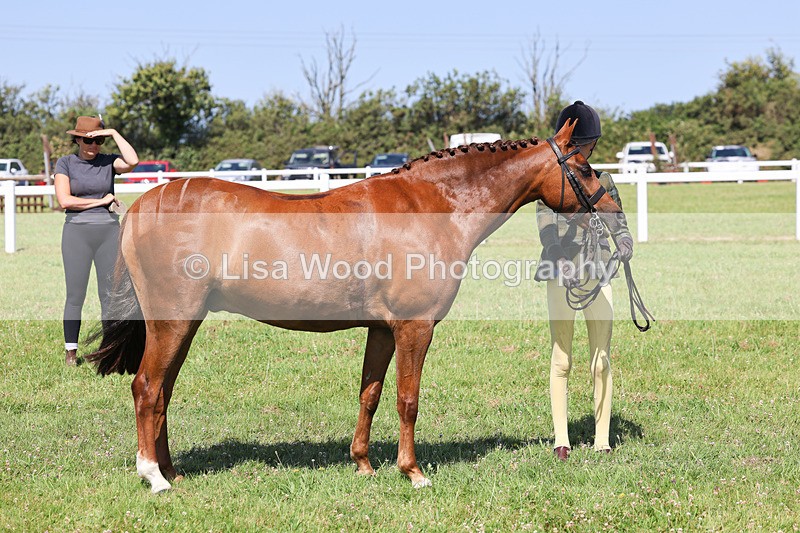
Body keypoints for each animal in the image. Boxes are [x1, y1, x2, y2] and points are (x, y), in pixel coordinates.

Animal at [86, 120, 627, 493]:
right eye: (582, 168)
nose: (614, 214)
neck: (430, 207)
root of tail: (143, 206)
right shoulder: (414, 327)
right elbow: (407, 399)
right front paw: (413, 472)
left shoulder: (382, 329)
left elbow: (370, 392)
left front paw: (364, 463)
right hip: (172, 321)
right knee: (146, 387)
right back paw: (154, 477)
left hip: (184, 323)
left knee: (163, 393)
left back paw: (173, 471)